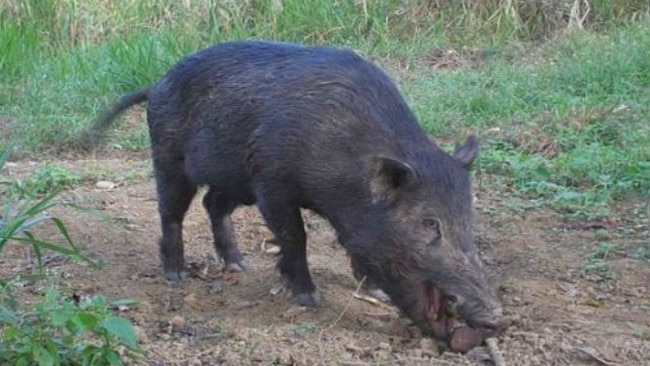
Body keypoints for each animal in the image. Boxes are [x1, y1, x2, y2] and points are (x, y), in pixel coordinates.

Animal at [85, 40, 512, 348]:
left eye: (468, 221)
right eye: (429, 223)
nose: (496, 316)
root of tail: (156, 84)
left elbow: (352, 246)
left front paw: (372, 289)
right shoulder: (272, 184)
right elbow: (296, 236)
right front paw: (308, 298)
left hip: (235, 180)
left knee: (213, 204)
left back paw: (239, 265)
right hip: (169, 157)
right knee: (171, 212)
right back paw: (175, 275)